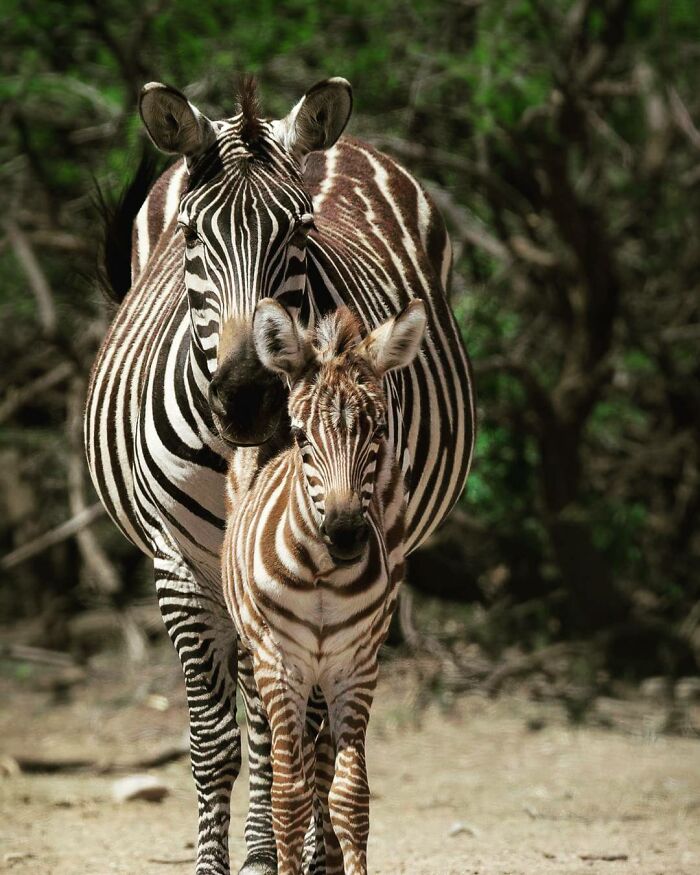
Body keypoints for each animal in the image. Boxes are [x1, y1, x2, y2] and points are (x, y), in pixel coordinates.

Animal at [223, 299, 426, 875]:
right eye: (302, 439)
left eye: (378, 433)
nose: (346, 535)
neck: (322, 576)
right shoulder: (279, 663)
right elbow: (288, 797)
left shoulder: (357, 666)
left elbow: (349, 796)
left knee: (323, 759)